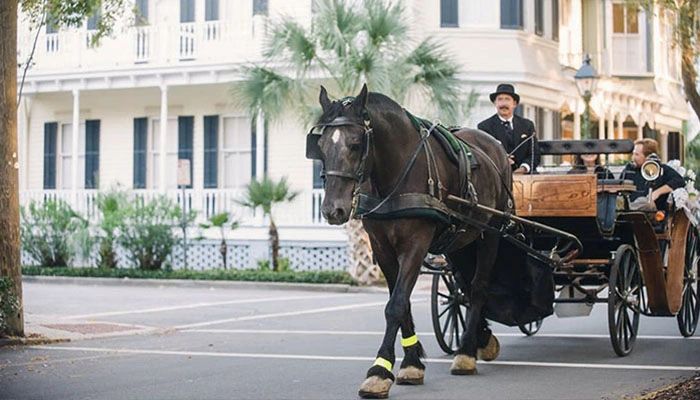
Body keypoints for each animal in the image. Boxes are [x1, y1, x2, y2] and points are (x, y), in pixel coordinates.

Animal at [308, 83, 512, 396]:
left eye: (356, 144)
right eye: (321, 146)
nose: (333, 209)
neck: (395, 172)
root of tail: (496, 148)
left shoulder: (415, 244)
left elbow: (395, 304)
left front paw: (379, 370)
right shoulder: (382, 248)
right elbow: (400, 302)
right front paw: (411, 363)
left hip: (491, 233)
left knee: (478, 287)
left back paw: (466, 352)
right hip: (460, 241)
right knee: (464, 286)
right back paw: (481, 337)